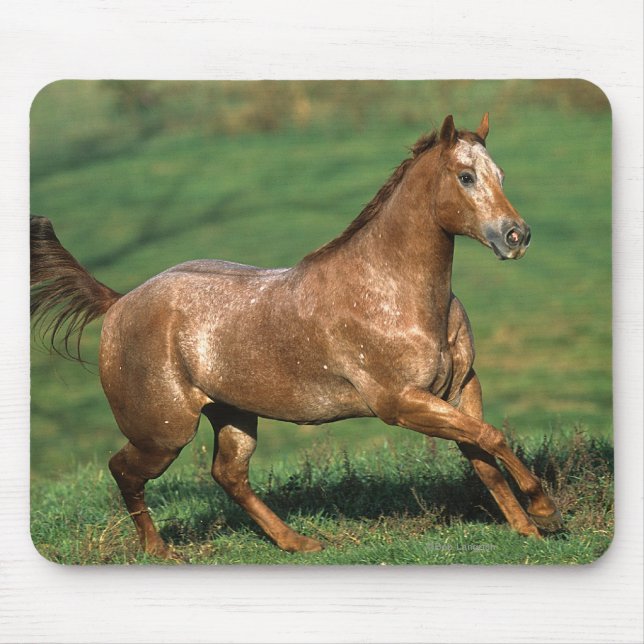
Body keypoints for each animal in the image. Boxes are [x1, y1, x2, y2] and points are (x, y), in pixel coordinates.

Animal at [31, 114, 563, 560]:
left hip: (233, 415)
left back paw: (298, 542)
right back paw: (160, 551)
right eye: (465, 176)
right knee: (124, 470)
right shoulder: (401, 403)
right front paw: (545, 511)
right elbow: (491, 438)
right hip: (162, 432)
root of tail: (119, 302)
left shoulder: (459, 388)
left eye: (500, 175)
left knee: (229, 475)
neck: (391, 290)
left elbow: (484, 453)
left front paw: (529, 529)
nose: (516, 236)